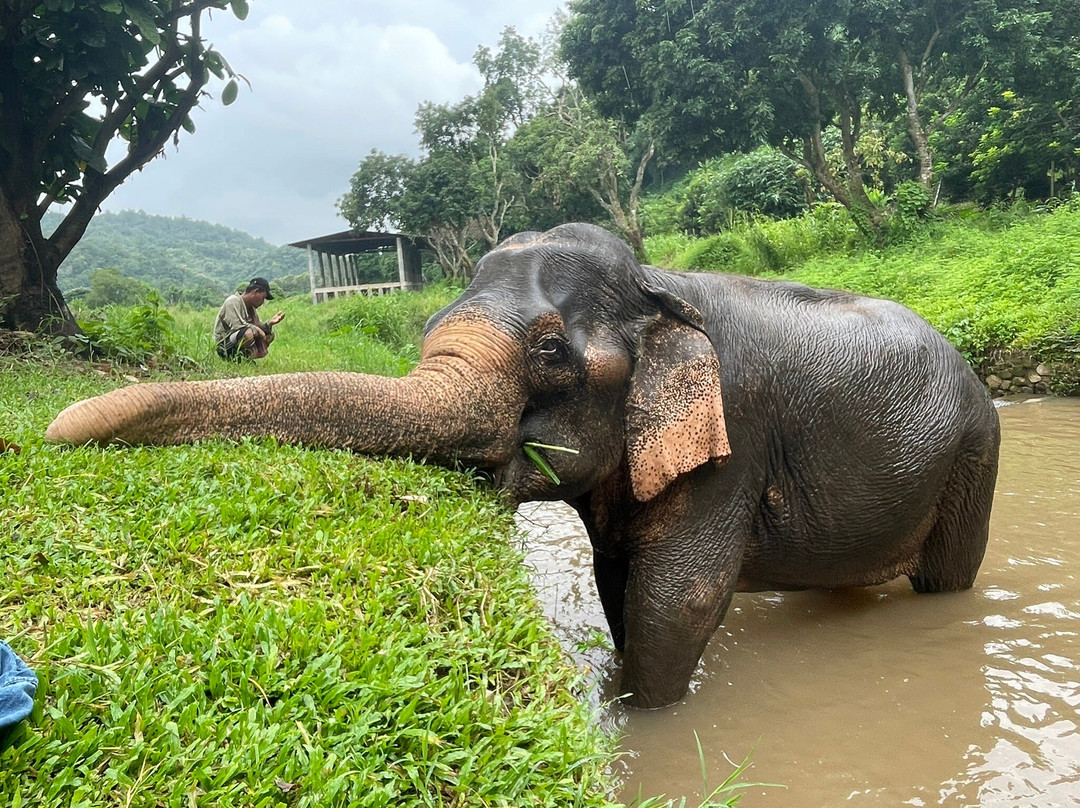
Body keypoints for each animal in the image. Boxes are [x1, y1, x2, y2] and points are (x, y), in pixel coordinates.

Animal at [46, 222, 1000, 709]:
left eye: (549, 354)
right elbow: (619, 582)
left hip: (976, 455)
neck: (659, 283)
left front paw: (636, 719)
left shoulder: (734, 438)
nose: (57, 430)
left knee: (944, 579)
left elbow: (676, 598)